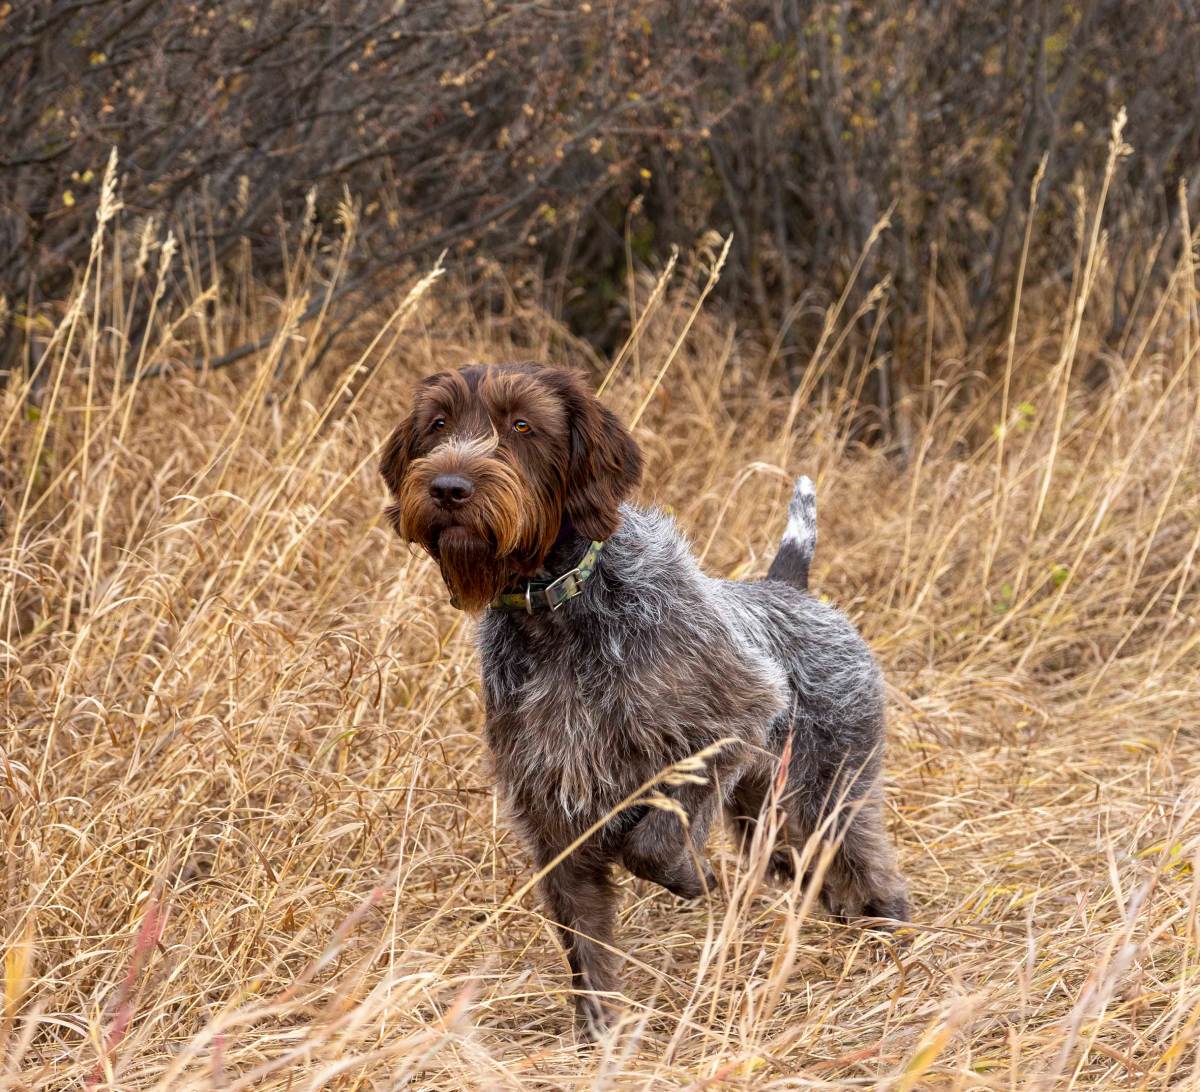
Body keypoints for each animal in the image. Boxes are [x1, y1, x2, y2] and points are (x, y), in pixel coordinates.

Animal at [381, 362, 907, 1036]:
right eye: (438, 423)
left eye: (522, 425)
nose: (449, 487)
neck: (558, 612)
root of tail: (788, 588)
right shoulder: (553, 818)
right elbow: (587, 951)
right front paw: (600, 1037)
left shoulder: (738, 718)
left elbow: (651, 842)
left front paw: (690, 874)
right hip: (768, 813)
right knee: (805, 867)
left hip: (828, 791)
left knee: (867, 864)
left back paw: (895, 938)